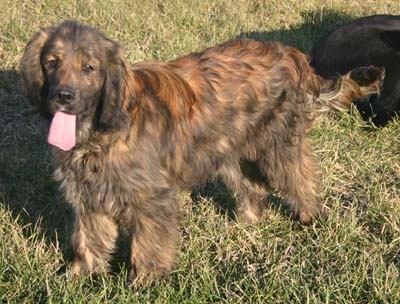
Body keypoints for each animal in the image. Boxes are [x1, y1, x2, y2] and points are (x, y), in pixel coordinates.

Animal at [21, 20, 382, 284]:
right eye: (52, 62)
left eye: (90, 67)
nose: (63, 96)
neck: (105, 126)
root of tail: (291, 55)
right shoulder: (89, 197)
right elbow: (89, 241)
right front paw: (80, 277)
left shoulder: (152, 201)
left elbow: (149, 246)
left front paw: (144, 284)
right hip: (230, 154)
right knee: (252, 190)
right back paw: (246, 224)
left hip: (277, 147)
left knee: (302, 178)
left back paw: (310, 219)